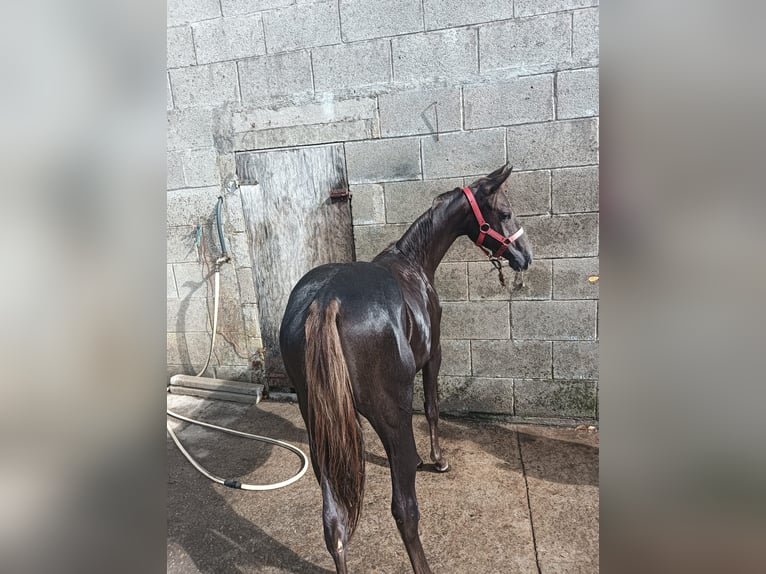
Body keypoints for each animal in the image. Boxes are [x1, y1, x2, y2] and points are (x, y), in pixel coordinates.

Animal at [280, 164, 536, 572]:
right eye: (505, 212)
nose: (524, 257)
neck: (412, 261)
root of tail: (326, 301)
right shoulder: (434, 357)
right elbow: (431, 408)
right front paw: (437, 460)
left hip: (318, 427)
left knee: (334, 522)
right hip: (388, 415)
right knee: (404, 509)